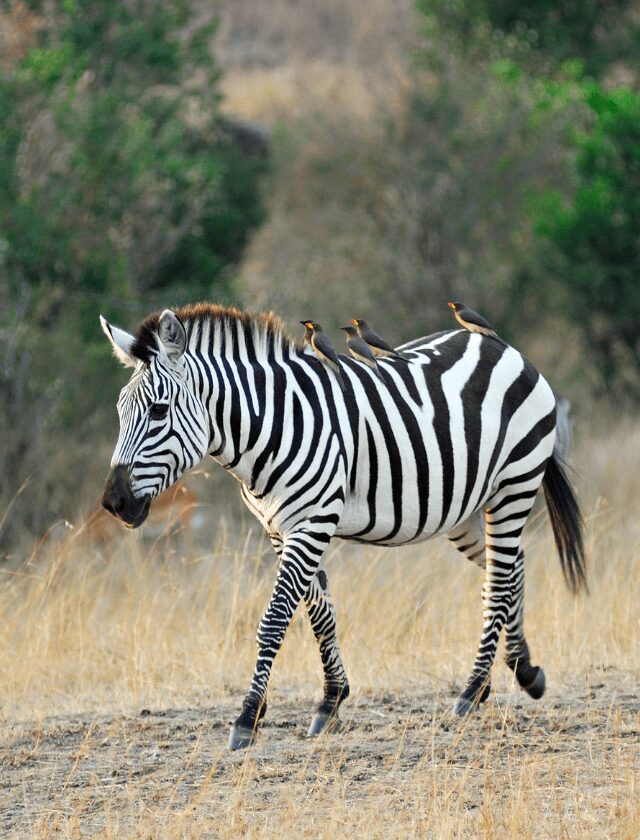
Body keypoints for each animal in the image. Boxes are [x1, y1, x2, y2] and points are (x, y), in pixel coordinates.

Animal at [100, 303, 586, 749]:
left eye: (159, 411)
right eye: (120, 411)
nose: (112, 502)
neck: (269, 429)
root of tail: (500, 346)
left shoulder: (312, 522)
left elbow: (275, 618)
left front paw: (247, 718)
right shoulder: (281, 530)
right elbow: (319, 614)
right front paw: (331, 701)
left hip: (514, 484)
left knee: (501, 579)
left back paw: (470, 691)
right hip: (466, 510)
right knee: (507, 571)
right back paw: (522, 671)